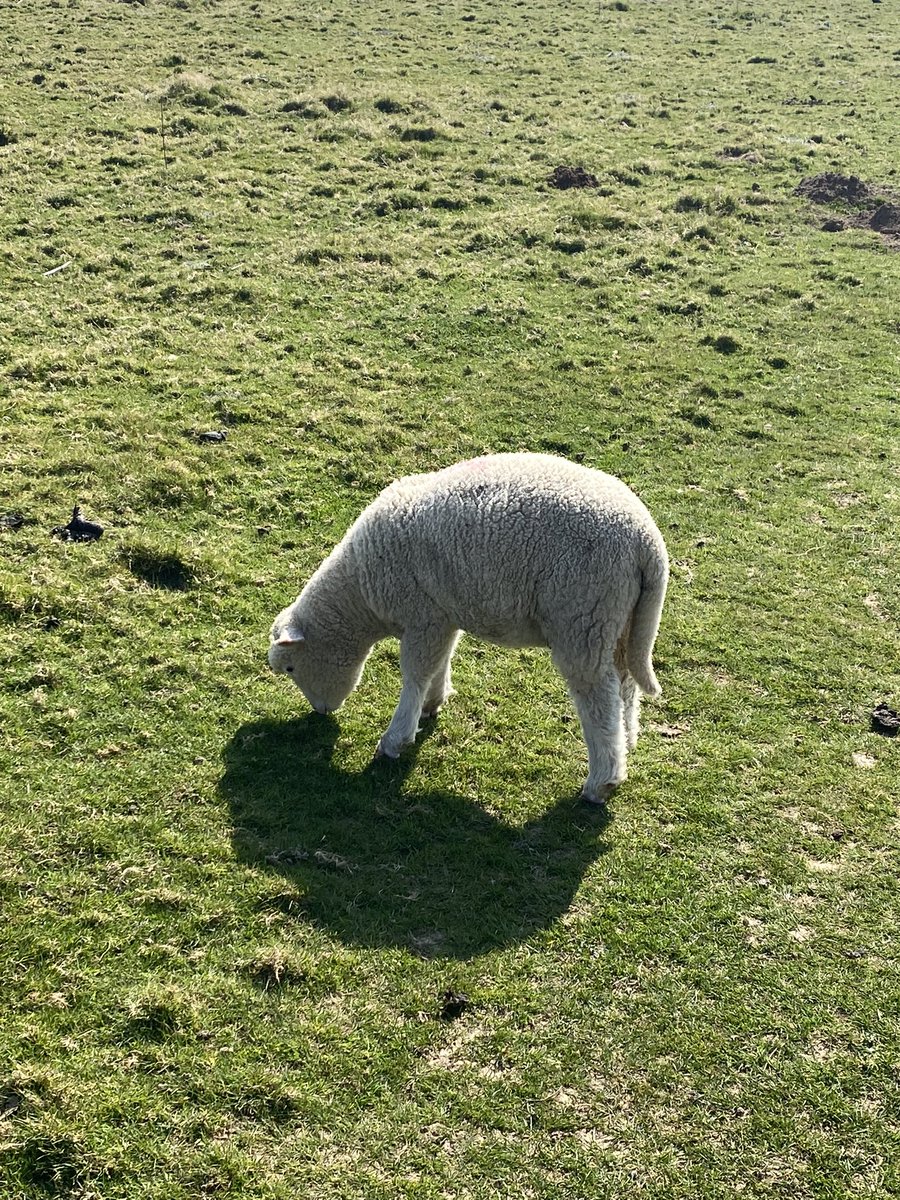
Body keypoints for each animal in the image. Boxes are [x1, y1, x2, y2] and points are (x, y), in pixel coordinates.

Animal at [268, 453, 668, 805]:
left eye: (290, 668)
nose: (321, 712)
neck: (361, 594)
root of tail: (647, 544)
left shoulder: (422, 614)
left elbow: (415, 673)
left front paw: (396, 739)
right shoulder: (442, 613)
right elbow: (439, 662)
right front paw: (432, 704)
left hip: (582, 616)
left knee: (598, 697)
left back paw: (602, 782)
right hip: (620, 620)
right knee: (625, 682)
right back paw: (626, 743)